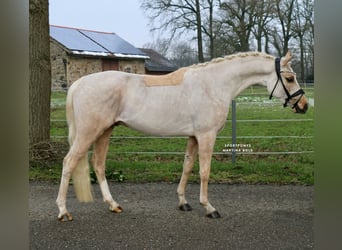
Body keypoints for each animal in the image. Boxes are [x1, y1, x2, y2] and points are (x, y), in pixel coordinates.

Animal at [56, 50, 308, 221]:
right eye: (289, 78)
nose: (304, 105)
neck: (214, 84)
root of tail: (79, 84)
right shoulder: (206, 136)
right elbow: (205, 171)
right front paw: (209, 207)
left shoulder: (193, 137)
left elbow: (187, 167)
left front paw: (183, 202)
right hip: (89, 133)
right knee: (69, 162)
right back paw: (63, 211)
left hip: (104, 132)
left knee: (98, 165)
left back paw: (113, 204)